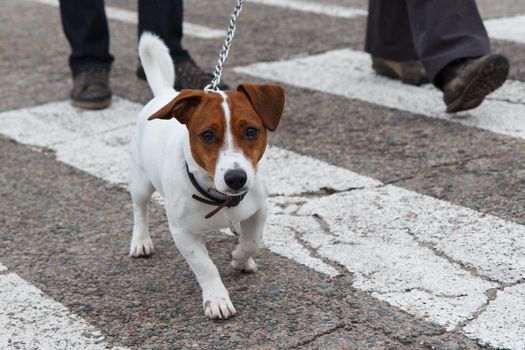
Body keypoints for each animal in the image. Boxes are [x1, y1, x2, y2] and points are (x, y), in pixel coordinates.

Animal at [128, 33, 284, 320]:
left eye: (251, 131)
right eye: (207, 135)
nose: (236, 178)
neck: (219, 197)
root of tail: (165, 94)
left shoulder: (259, 210)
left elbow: (252, 241)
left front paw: (240, 258)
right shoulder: (182, 232)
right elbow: (205, 266)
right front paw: (217, 299)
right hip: (141, 183)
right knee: (139, 209)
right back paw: (141, 240)